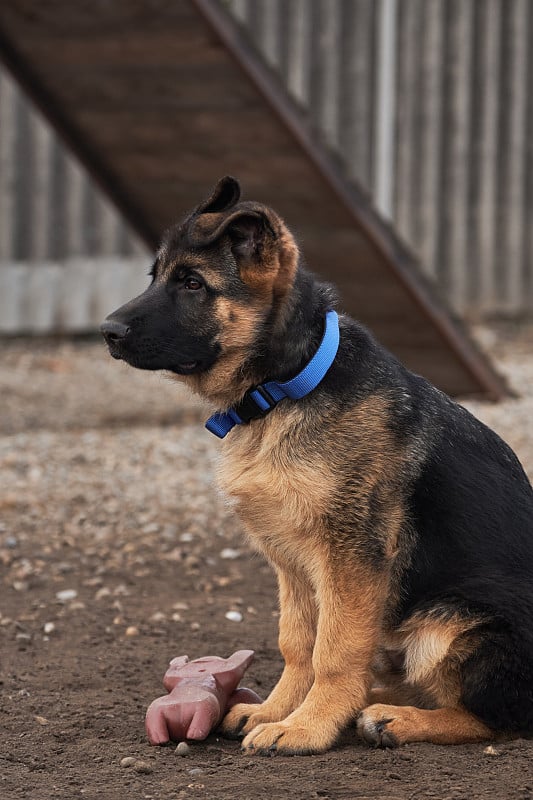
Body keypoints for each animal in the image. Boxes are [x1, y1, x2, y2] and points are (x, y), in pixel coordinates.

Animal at [101, 177, 532, 756]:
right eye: (157, 277)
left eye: (192, 283)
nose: (107, 331)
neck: (288, 384)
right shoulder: (293, 560)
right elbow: (298, 643)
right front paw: (275, 710)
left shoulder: (350, 556)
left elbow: (334, 648)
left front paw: (307, 725)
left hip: (449, 628)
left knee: (501, 717)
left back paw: (395, 719)